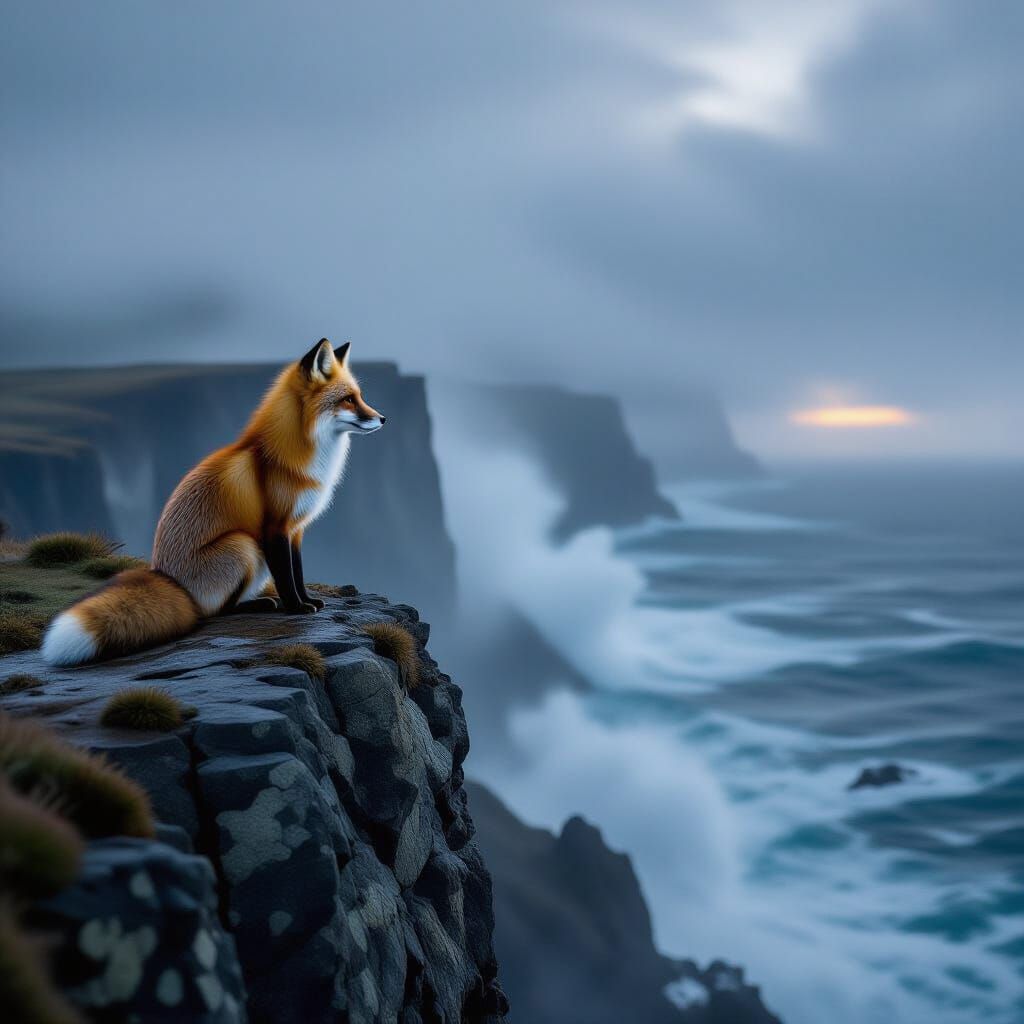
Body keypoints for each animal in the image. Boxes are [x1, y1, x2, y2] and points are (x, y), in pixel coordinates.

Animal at [41, 338, 385, 667]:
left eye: (359, 396)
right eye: (348, 399)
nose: (382, 418)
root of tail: (170, 580)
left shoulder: (296, 528)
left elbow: (298, 573)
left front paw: (308, 601)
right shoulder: (274, 527)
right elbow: (286, 577)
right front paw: (296, 608)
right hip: (243, 545)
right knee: (212, 612)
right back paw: (258, 604)